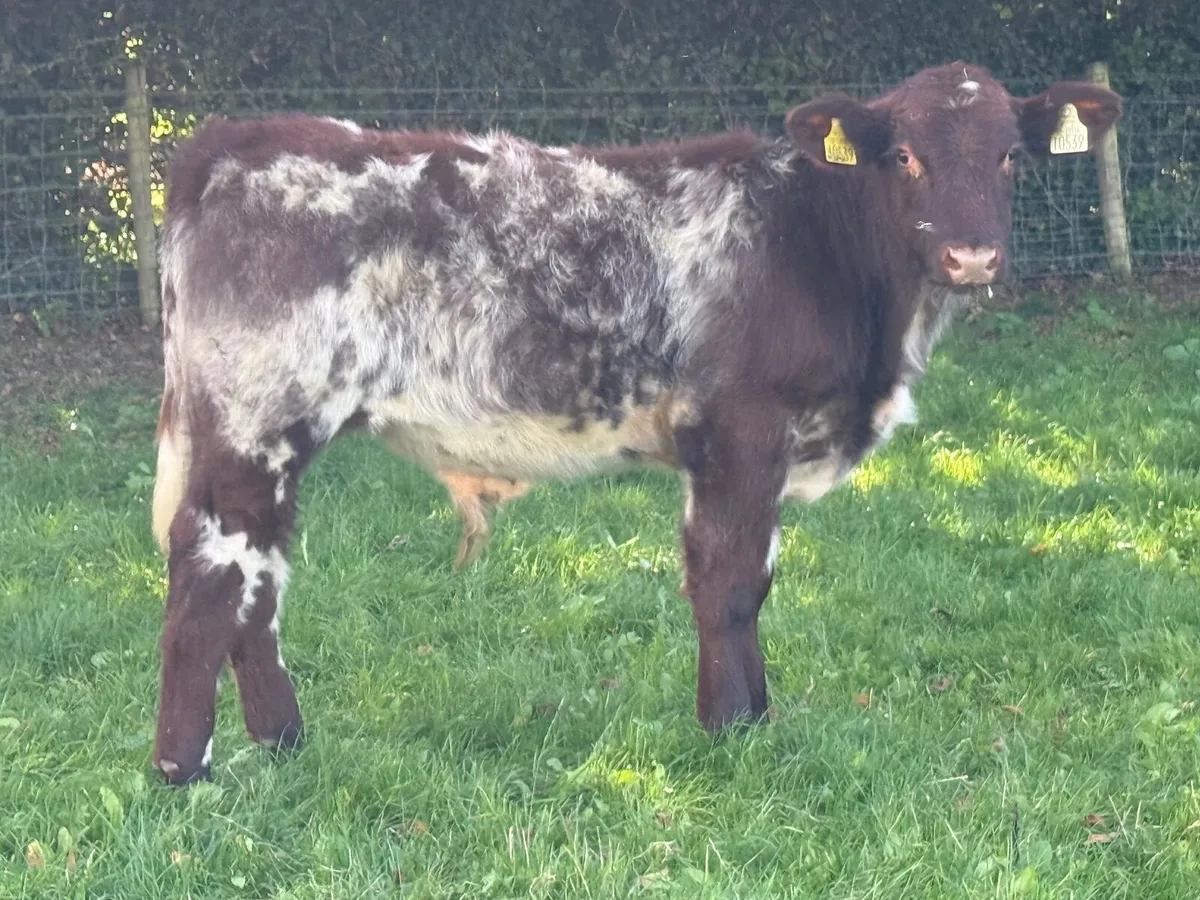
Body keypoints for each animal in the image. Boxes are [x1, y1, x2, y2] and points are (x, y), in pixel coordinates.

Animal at [148, 62, 1121, 784]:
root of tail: (230, 146)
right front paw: (732, 730)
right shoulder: (741, 429)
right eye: (906, 157)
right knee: (209, 570)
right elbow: (728, 583)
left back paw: (283, 744)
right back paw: (183, 770)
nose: (972, 255)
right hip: (256, 420)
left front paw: (757, 716)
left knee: (261, 573)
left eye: (1010, 156)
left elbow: (755, 579)